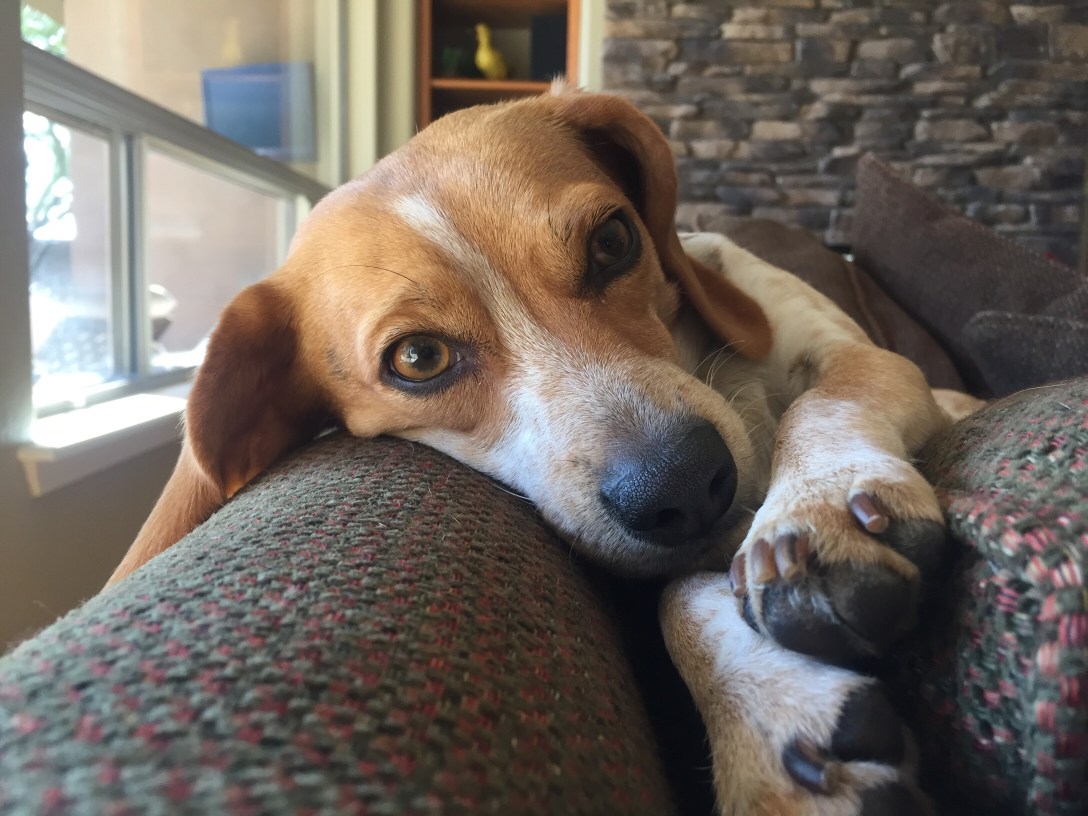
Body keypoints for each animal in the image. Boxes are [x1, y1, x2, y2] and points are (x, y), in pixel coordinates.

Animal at [107, 86, 978, 814]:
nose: (684, 483)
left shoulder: (881, 370)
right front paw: (772, 719)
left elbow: (826, 400)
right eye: (417, 359)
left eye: (615, 239)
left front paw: (816, 511)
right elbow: (675, 593)